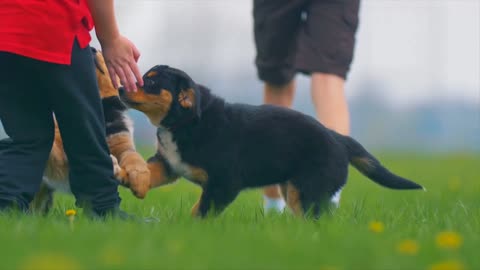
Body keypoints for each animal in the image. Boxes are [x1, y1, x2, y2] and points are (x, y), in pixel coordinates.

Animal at [30, 48, 150, 213]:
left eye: (102, 51)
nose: (92, 49)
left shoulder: (122, 142)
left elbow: (134, 157)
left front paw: (140, 181)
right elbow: (59, 149)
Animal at [120, 65, 424, 217]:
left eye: (151, 82)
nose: (121, 87)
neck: (183, 124)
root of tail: (338, 138)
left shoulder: (223, 183)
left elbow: (201, 210)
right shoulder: (169, 164)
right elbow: (149, 171)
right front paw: (128, 177)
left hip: (308, 191)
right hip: (292, 190)